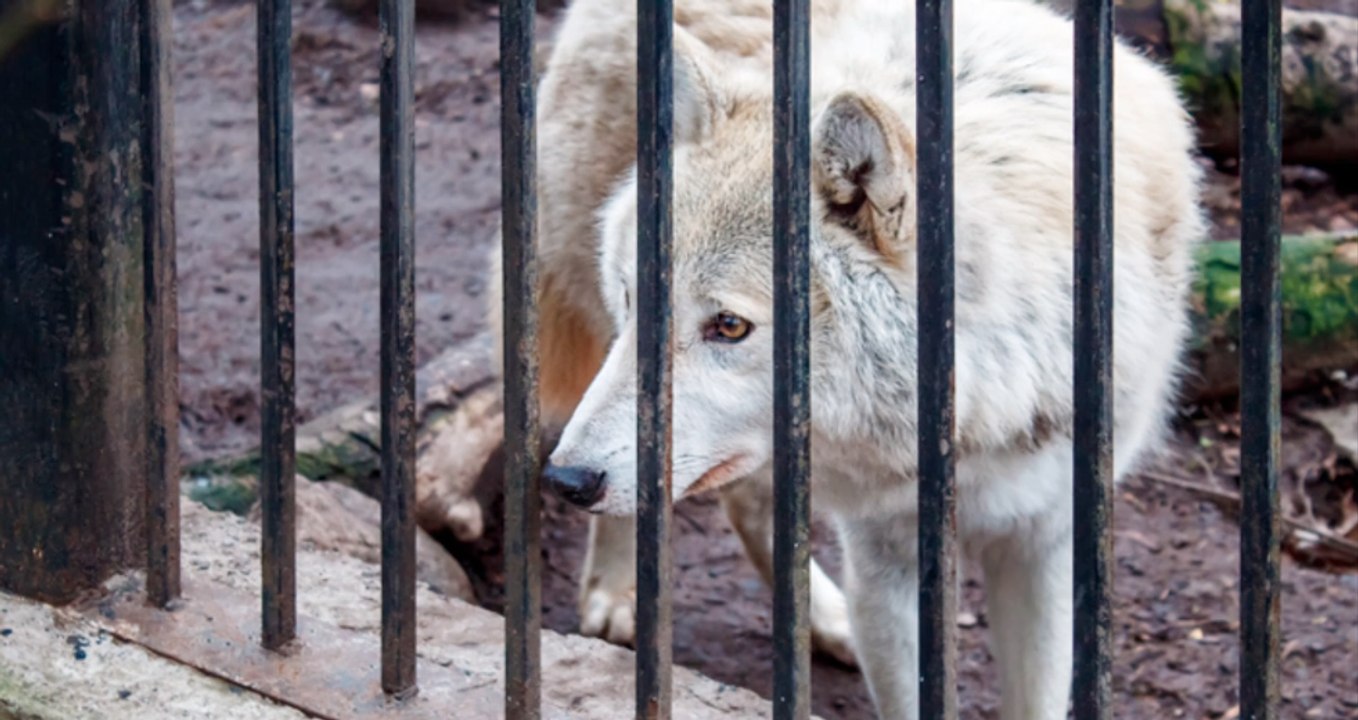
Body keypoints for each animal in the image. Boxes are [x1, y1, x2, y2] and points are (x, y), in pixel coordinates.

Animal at [492, 0, 1204, 717]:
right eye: (637, 295)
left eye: (729, 326)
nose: (567, 480)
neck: (980, 413)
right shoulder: (883, 554)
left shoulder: (1047, 540)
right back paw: (620, 594)